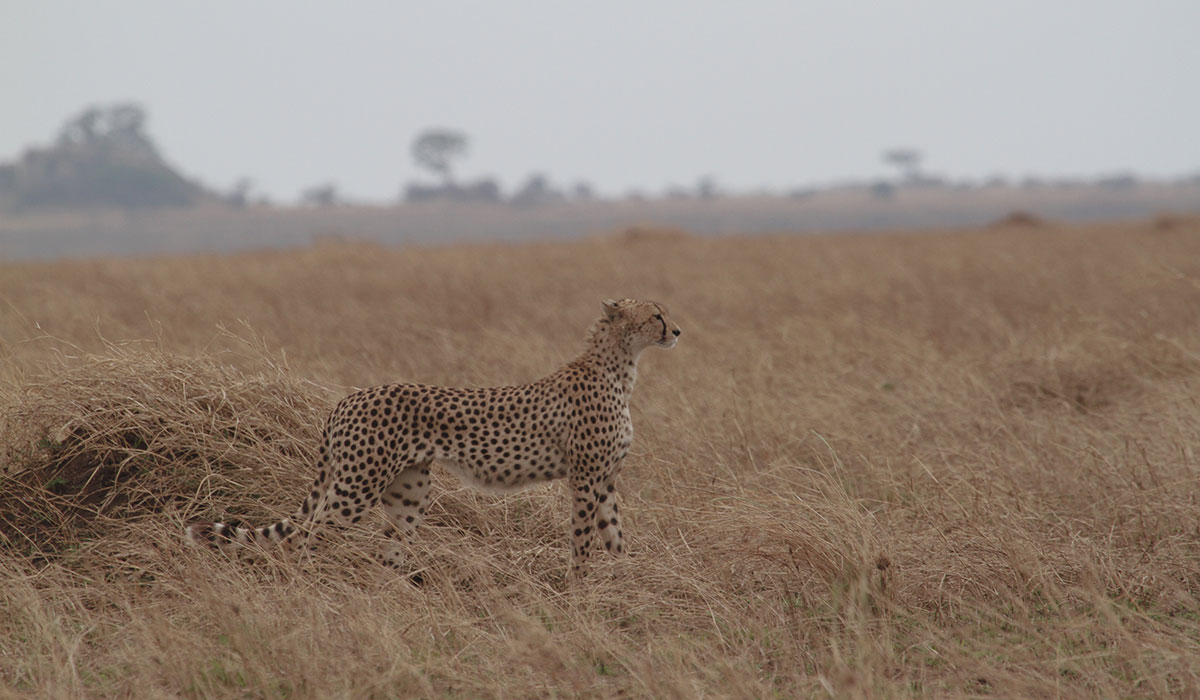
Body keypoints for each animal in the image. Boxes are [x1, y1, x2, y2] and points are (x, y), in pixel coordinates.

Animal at [187, 298, 681, 578]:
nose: (677, 330)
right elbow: (582, 539)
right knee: (302, 541)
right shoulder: (585, 477)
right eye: (656, 315)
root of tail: (347, 398)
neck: (621, 366)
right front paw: (579, 590)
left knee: (386, 555)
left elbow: (615, 538)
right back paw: (301, 593)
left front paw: (624, 586)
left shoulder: (607, 480)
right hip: (356, 486)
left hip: (408, 492)